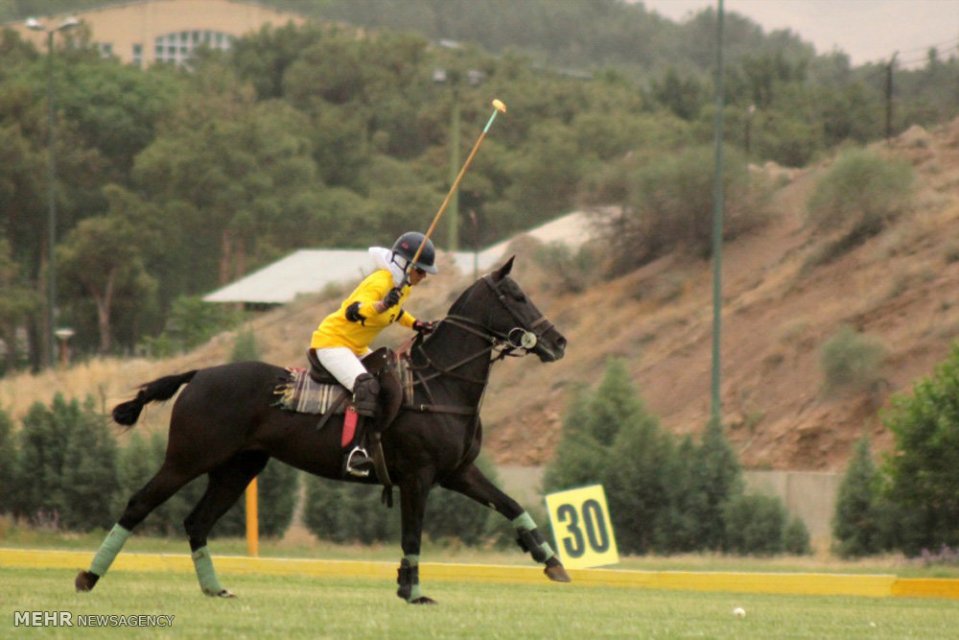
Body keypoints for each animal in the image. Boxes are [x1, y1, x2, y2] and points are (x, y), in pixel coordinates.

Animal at [75, 257, 570, 604]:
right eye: (516, 296)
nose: (559, 341)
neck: (441, 382)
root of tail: (199, 374)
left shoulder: (458, 472)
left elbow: (511, 505)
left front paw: (552, 563)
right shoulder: (419, 476)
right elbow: (412, 535)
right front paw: (412, 591)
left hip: (238, 467)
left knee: (197, 521)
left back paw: (215, 588)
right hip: (187, 458)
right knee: (139, 505)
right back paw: (88, 577)